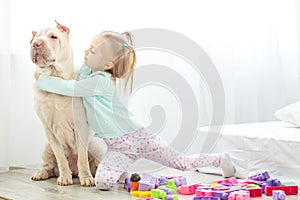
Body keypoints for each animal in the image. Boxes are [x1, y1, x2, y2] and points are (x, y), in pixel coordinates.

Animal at [29, 21, 104, 187]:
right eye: (34, 39)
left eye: (53, 36)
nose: (36, 44)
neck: (55, 79)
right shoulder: (48, 129)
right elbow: (60, 157)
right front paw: (64, 177)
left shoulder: (80, 125)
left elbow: (82, 157)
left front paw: (86, 178)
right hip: (46, 147)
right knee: (50, 166)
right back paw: (41, 173)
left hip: (97, 146)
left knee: (95, 164)